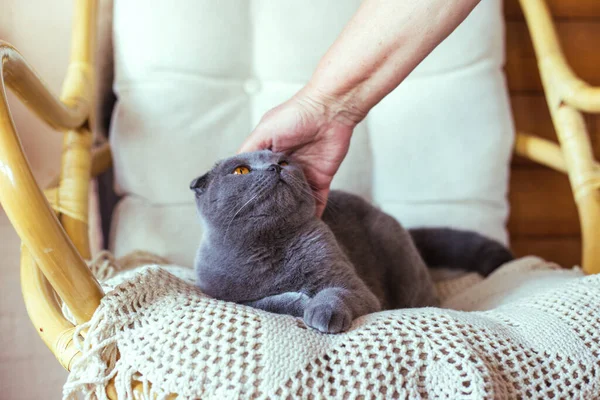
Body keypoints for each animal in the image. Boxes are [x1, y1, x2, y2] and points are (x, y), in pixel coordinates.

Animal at [191, 149, 510, 332]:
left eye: (284, 161)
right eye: (241, 170)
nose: (276, 168)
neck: (272, 244)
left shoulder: (353, 285)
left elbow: (337, 293)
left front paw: (322, 311)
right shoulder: (221, 294)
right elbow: (263, 302)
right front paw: (299, 300)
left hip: (398, 254)